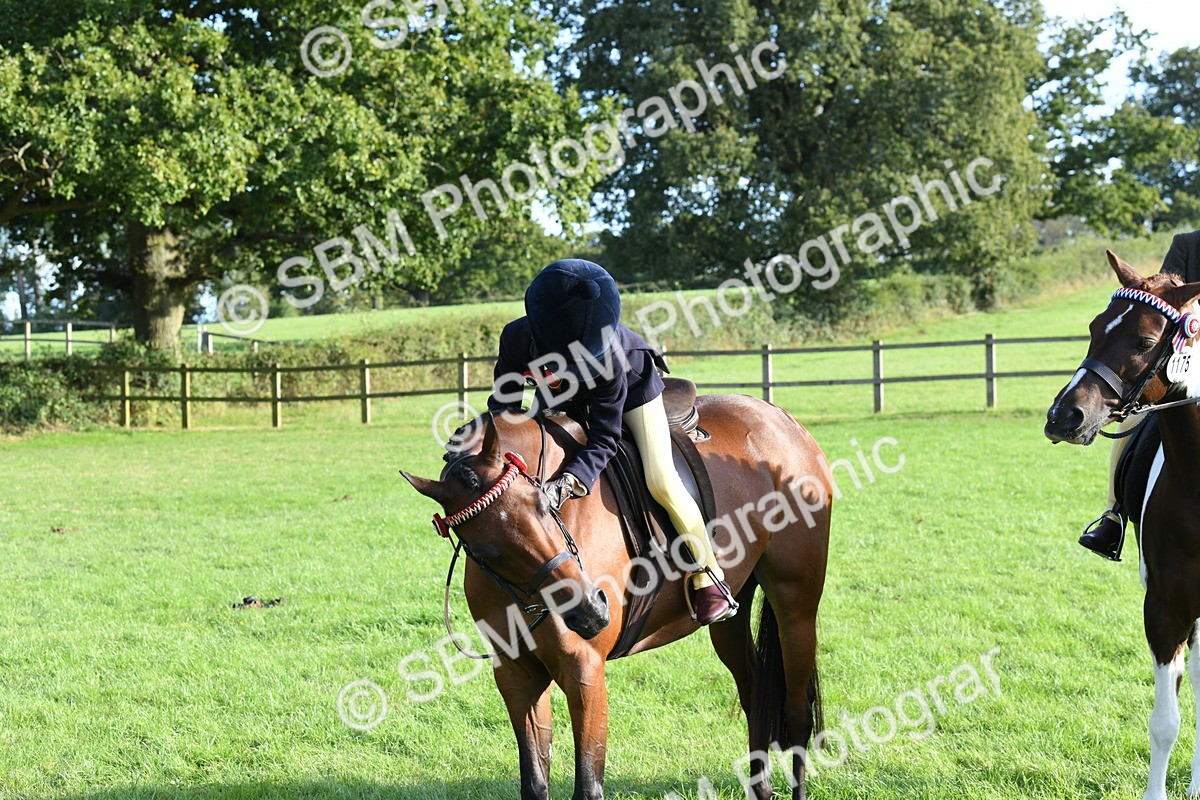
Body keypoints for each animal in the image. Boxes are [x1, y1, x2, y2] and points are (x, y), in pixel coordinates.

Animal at [401, 393, 831, 800]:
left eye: (543, 505)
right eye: (486, 551)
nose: (590, 610)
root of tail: (780, 418)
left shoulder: (584, 671)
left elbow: (588, 786)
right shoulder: (516, 677)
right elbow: (534, 783)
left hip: (795, 606)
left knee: (797, 711)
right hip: (730, 618)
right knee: (755, 693)